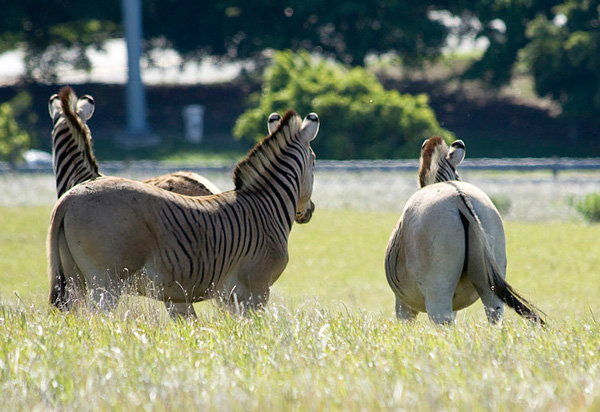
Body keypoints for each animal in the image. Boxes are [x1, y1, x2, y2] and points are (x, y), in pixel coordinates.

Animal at [48, 109, 318, 318]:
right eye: (315, 162)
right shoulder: (256, 290)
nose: (309, 211)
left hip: (75, 280)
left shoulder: (231, 296)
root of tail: (69, 198)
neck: (266, 206)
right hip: (105, 283)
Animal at [384, 137, 544, 324]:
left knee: (442, 323)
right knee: (494, 316)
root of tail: (458, 197)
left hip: (437, 291)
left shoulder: (403, 304)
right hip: (489, 282)